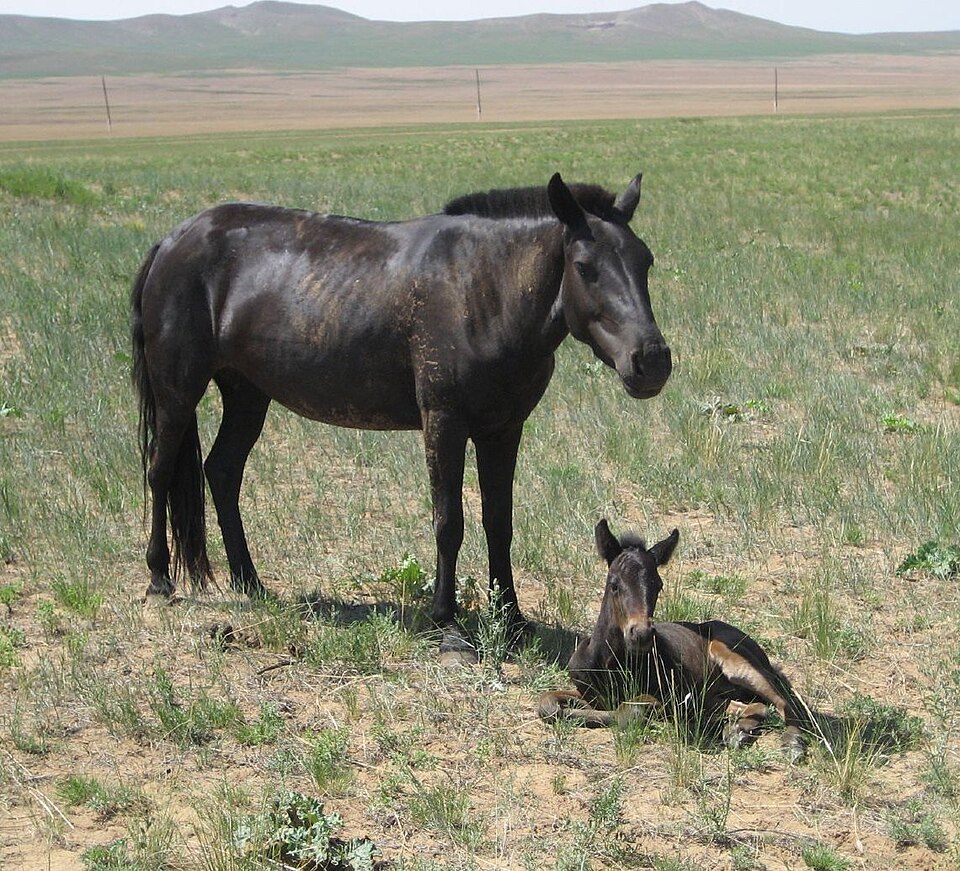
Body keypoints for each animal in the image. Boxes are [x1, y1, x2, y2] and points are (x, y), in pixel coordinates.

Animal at [130, 173, 671, 650]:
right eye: (583, 265)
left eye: (644, 260)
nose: (652, 361)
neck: (482, 287)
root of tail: (172, 241)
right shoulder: (444, 423)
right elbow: (449, 522)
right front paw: (446, 624)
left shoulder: (503, 429)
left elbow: (500, 522)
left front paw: (512, 620)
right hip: (178, 392)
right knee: (160, 471)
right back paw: (160, 580)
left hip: (247, 394)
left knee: (222, 472)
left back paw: (250, 582)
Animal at [538, 520, 808, 759]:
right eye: (614, 584)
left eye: (658, 586)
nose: (641, 635)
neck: (611, 664)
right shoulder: (585, 691)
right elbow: (547, 704)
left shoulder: (665, 695)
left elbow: (628, 711)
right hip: (718, 693)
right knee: (753, 706)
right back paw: (736, 731)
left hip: (737, 661)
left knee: (787, 704)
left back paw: (791, 742)